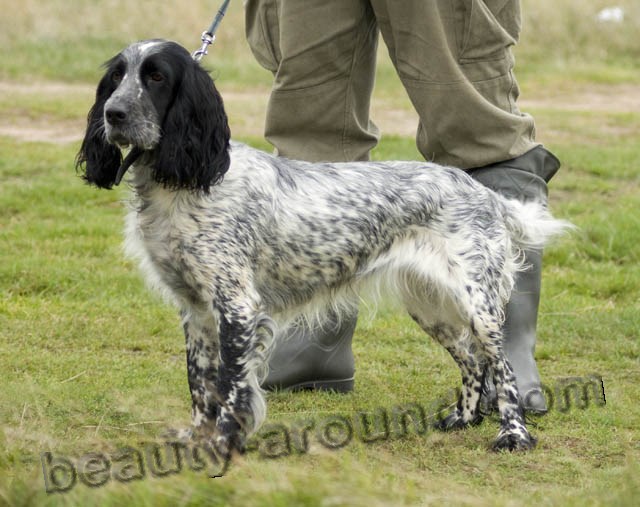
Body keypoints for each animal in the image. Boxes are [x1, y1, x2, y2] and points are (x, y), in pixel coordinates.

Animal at [76, 39, 568, 458]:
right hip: (430, 305)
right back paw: (463, 418)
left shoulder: (237, 306)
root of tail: (483, 191)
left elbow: (231, 387)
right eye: (117, 77)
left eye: (157, 77)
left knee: (501, 367)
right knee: (471, 361)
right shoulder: (196, 310)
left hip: (478, 303)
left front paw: (223, 444)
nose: (113, 113)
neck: (185, 182)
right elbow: (201, 384)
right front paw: (197, 437)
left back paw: (513, 434)